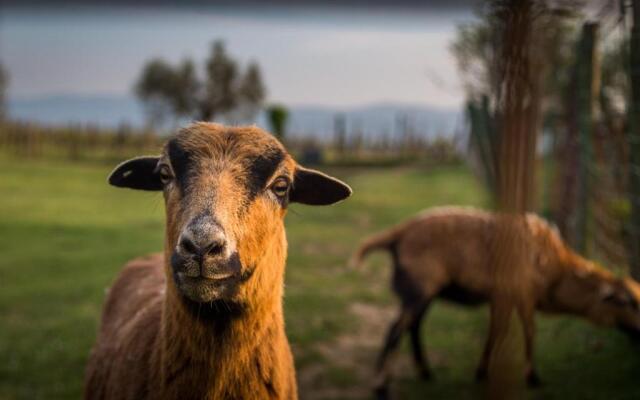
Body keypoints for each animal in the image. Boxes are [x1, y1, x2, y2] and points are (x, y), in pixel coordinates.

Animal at [350, 208, 640, 398]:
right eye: (626, 302)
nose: (638, 333)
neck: (557, 273)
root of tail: (397, 235)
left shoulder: (504, 296)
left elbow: (496, 331)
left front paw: (482, 372)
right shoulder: (521, 292)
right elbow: (527, 331)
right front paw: (532, 378)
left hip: (423, 292)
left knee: (413, 327)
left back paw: (425, 373)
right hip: (419, 288)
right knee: (395, 330)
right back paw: (381, 385)